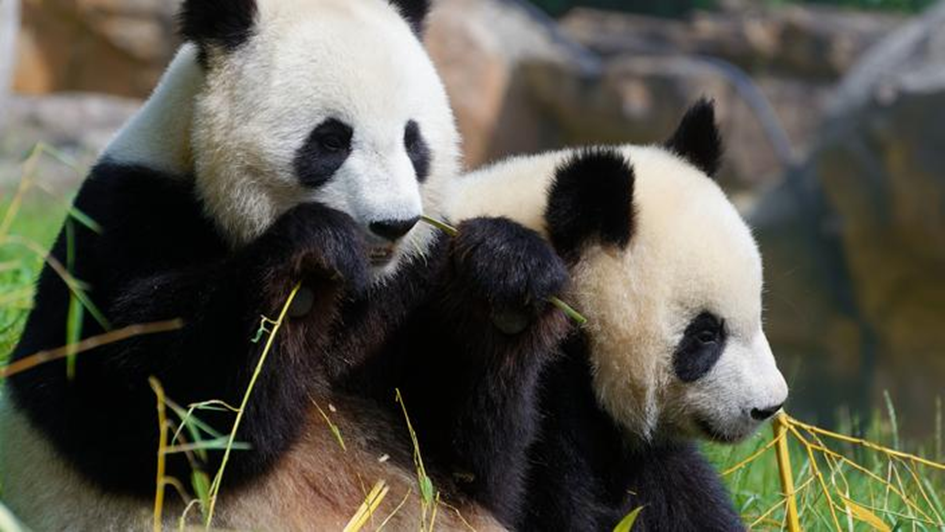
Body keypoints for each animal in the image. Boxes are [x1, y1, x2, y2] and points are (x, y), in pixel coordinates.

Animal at [0, 0, 570, 530]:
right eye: (332, 139)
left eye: (413, 141)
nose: (393, 225)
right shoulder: (123, 225)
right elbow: (152, 412)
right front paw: (311, 260)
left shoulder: (411, 287)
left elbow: (461, 461)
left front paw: (506, 273)